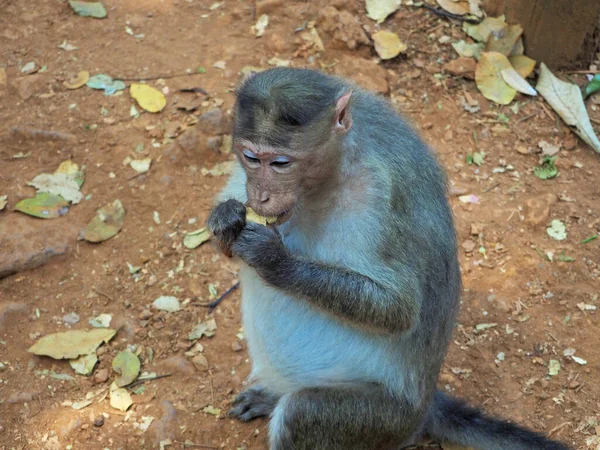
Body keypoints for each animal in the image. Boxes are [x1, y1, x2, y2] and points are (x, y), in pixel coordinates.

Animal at [207, 67, 572, 450]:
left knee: (302, 413)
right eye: (251, 158)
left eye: (280, 163)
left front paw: (274, 261)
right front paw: (226, 218)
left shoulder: (379, 195)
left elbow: (398, 309)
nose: (260, 195)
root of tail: (424, 407)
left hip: (383, 420)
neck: (331, 172)